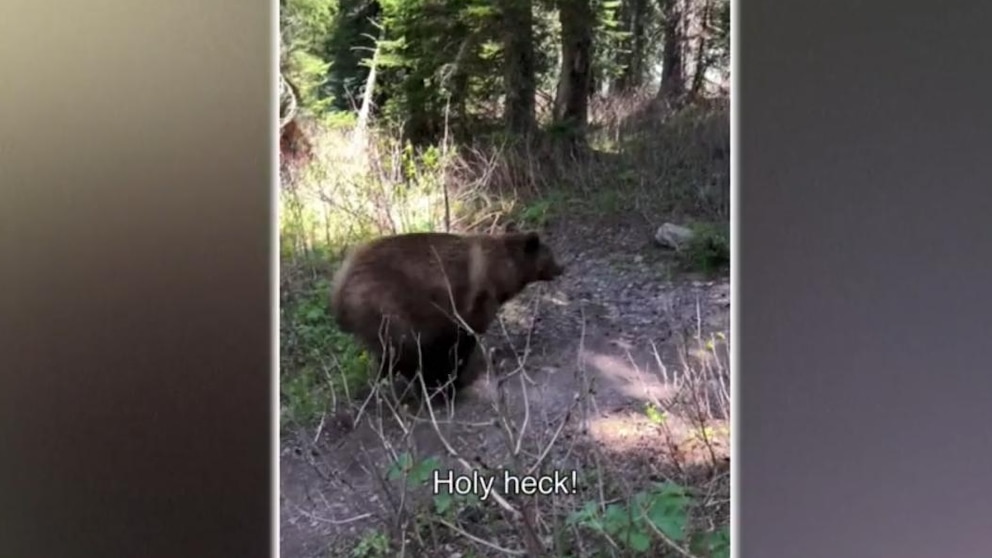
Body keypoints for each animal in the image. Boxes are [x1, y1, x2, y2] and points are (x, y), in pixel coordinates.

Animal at [329, 230, 565, 397]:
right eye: (550, 254)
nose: (562, 267)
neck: (501, 273)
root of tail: (339, 288)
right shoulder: (468, 304)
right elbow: (458, 342)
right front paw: (451, 378)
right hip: (385, 306)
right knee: (406, 350)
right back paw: (430, 389)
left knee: (388, 355)